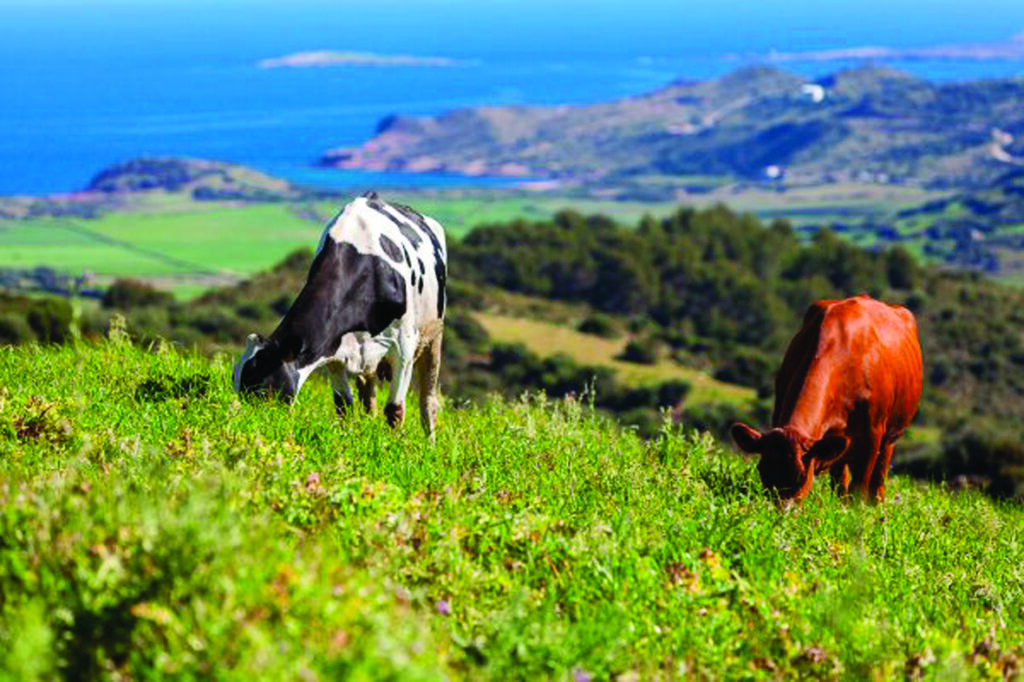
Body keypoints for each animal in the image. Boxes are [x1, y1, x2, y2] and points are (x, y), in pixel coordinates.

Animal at [237, 191, 450, 436]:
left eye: (261, 387)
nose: (251, 425)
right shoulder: (333, 349)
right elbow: (344, 406)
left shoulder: (403, 347)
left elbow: (395, 410)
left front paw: (392, 443)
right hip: (369, 359)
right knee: (369, 398)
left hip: (433, 335)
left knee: (428, 401)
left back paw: (430, 439)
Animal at [733, 294, 925, 501]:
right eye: (762, 470)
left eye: (801, 476)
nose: (780, 509)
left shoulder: (872, 435)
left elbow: (859, 489)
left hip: (891, 435)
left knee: (878, 480)